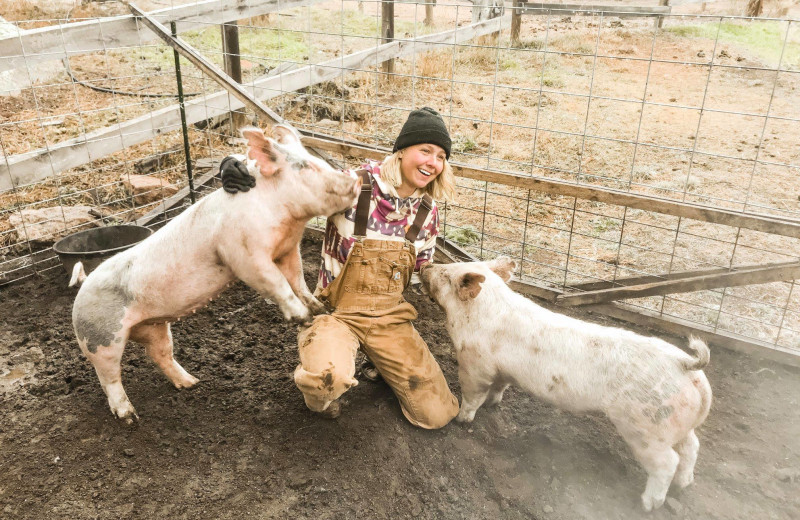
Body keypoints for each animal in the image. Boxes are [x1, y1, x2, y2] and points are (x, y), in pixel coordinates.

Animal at [72, 125, 360, 422]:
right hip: (99, 337)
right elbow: (278, 283)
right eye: (305, 166)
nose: (356, 179)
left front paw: (319, 309)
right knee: (108, 377)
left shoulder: (288, 250)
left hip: (154, 326)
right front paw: (303, 319)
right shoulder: (244, 254)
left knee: (161, 354)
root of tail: (83, 285)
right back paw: (129, 416)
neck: (288, 220)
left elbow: (297, 280)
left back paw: (191, 383)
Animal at [422, 258, 716, 510]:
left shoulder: (474, 363)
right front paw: (494, 405)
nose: (426, 266)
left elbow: (473, 394)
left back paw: (647, 504)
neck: (478, 313)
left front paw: (461, 420)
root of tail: (685, 364)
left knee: (668, 462)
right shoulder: (501, 370)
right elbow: (499, 388)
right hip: (677, 424)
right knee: (692, 447)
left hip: (645, 428)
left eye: (446, 274)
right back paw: (683, 485)